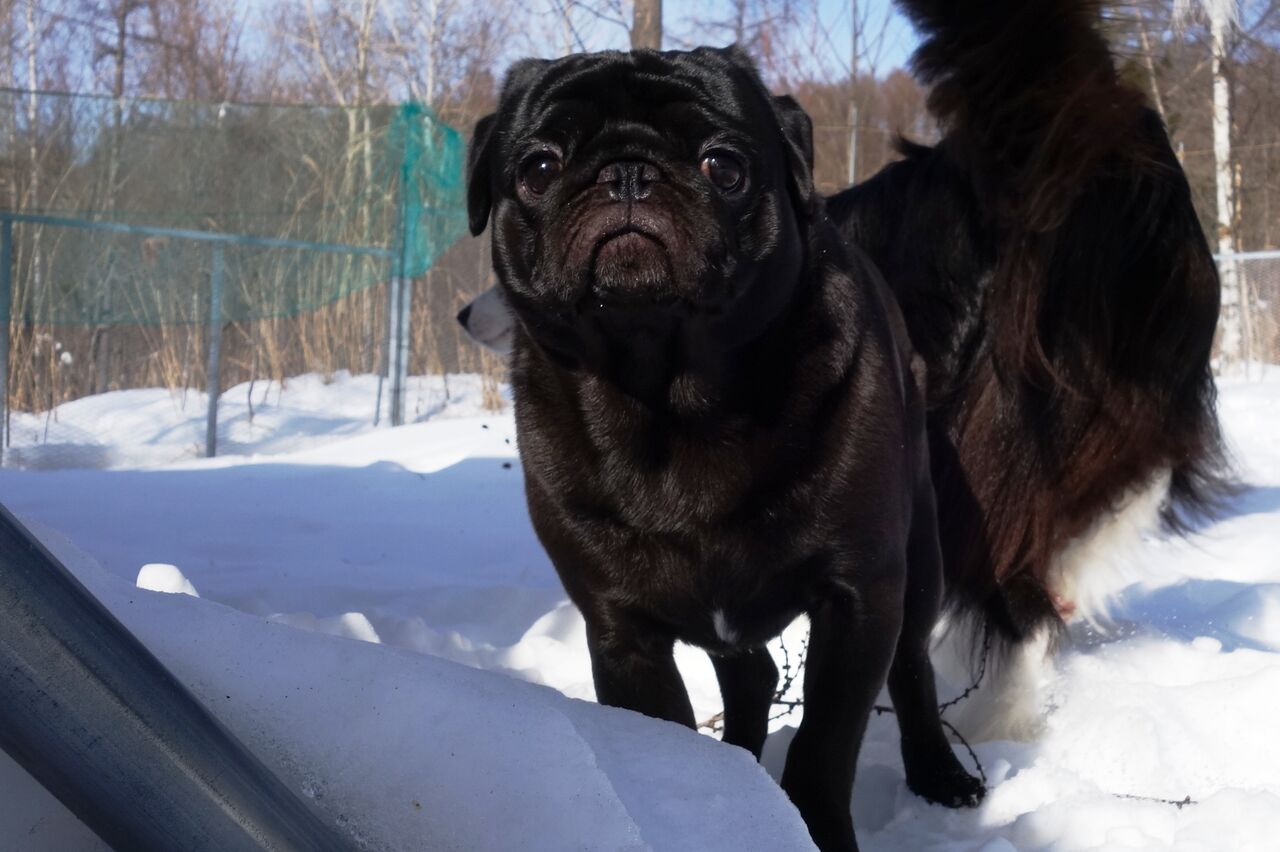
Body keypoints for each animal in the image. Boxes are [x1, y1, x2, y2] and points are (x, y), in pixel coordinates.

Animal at [466, 46, 983, 850]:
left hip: (918, 557)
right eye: (539, 168)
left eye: (724, 166)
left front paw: (816, 828)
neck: (672, 400)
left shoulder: (857, 597)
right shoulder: (623, 630)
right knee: (753, 677)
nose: (628, 171)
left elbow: (822, 749)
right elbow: (668, 742)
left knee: (911, 667)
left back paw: (939, 773)